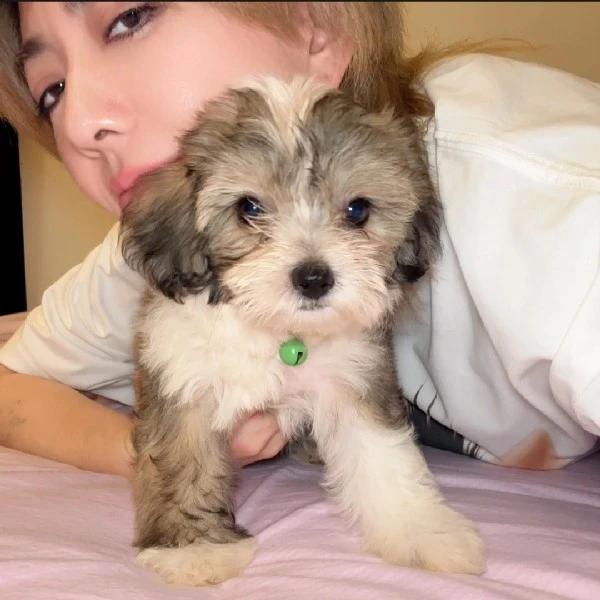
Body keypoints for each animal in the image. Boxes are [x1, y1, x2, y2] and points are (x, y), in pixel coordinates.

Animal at [119, 76, 486, 587]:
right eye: (249, 207)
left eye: (357, 211)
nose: (313, 277)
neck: (277, 329)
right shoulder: (181, 377)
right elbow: (181, 463)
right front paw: (191, 550)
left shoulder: (354, 379)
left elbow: (385, 457)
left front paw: (422, 530)